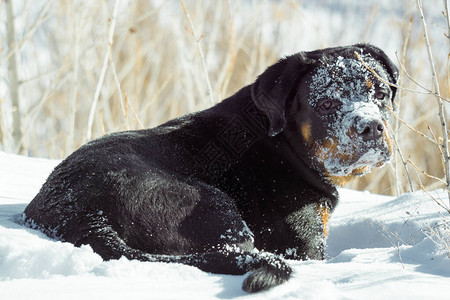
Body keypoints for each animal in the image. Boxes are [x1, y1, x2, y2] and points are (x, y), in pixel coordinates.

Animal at [22, 43, 400, 292]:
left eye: (381, 94)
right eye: (326, 103)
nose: (370, 126)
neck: (285, 145)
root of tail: (85, 216)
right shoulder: (304, 244)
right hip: (214, 206)